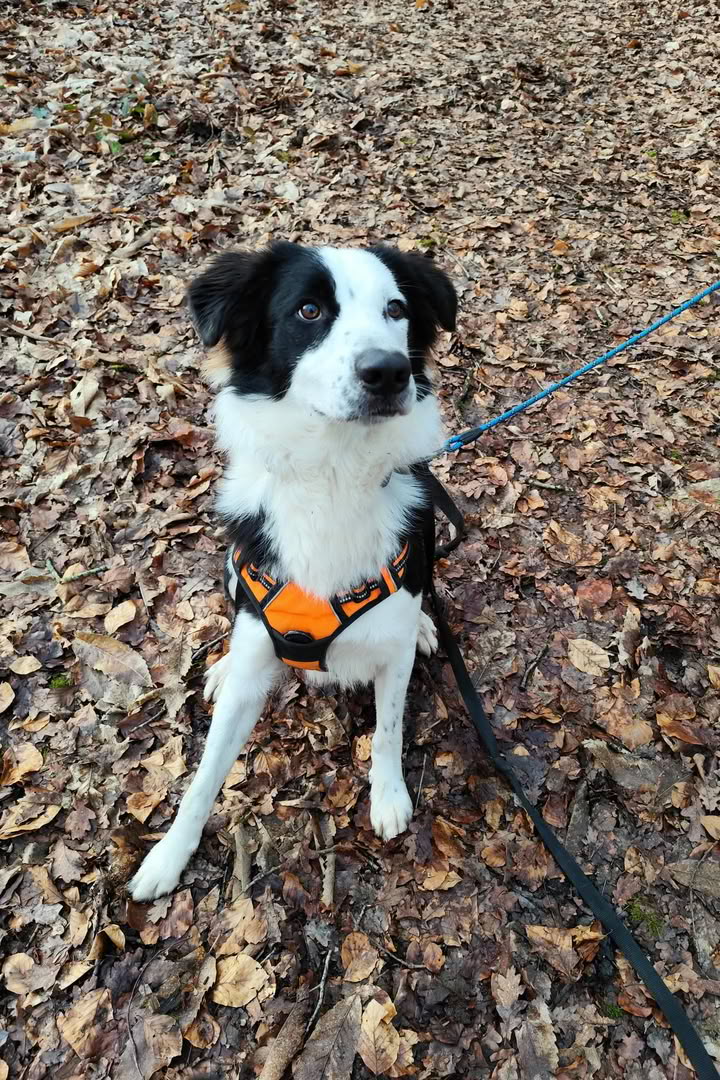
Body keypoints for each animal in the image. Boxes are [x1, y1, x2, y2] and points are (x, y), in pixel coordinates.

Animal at [129, 242, 457, 901]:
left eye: (397, 309)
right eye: (309, 310)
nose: (389, 372)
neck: (334, 472)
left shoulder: (391, 648)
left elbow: (388, 728)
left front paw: (388, 796)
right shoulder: (257, 646)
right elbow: (204, 776)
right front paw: (169, 855)